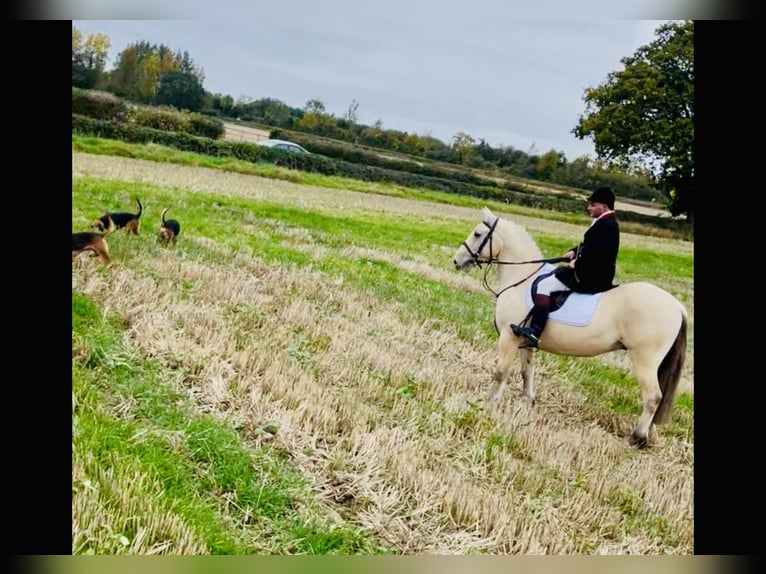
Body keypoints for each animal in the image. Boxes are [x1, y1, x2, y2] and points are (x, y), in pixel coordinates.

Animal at [452, 207, 688, 448]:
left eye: (478, 234)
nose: (456, 261)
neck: (522, 278)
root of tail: (677, 306)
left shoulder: (509, 338)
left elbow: (501, 372)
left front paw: (488, 401)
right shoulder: (525, 341)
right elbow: (527, 371)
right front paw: (526, 401)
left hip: (645, 360)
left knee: (653, 397)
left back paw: (637, 437)